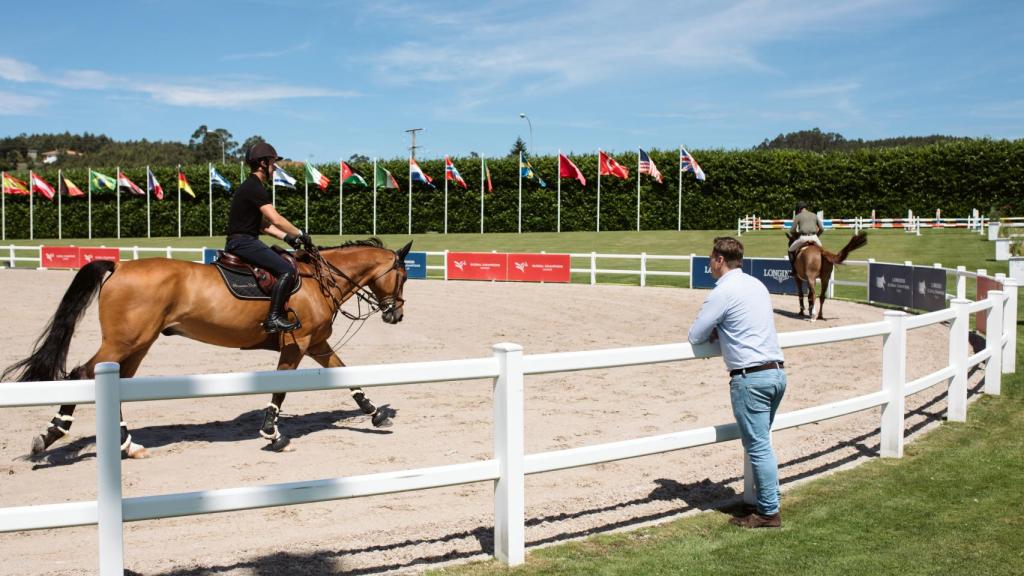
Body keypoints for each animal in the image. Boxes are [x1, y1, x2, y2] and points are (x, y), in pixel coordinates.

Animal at [4, 235, 411, 455]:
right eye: (404, 276)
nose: (396, 315)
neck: (317, 279)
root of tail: (120, 267)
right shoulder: (297, 344)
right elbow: (280, 388)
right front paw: (273, 433)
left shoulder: (318, 343)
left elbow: (345, 373)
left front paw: (374, 412)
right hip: (124, 340)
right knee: (81, 373)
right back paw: (53, 432)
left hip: (138, 343)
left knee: (114, 383)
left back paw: (125, 444)